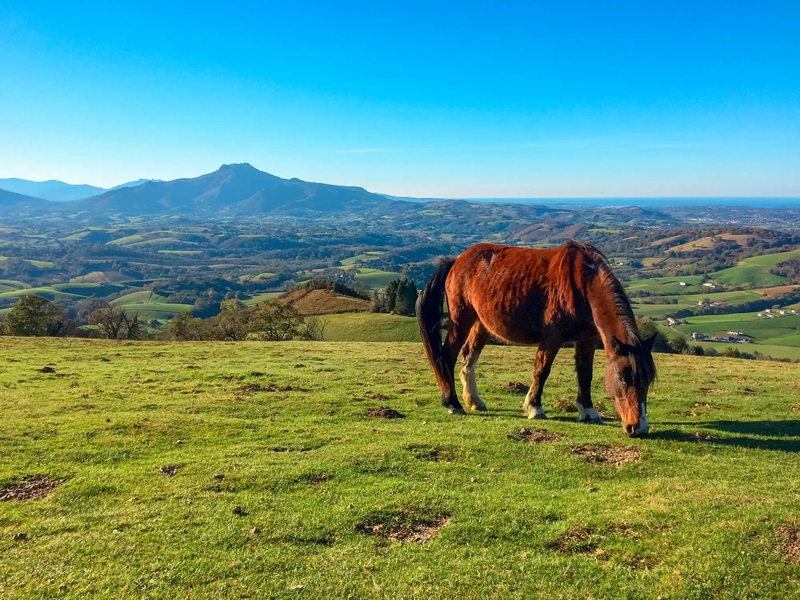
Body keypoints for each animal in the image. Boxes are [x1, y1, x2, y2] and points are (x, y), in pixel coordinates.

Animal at [418, 241, 656, 438]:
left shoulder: (587, 339)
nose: (638, 428)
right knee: (447, 356)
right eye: (623, 378)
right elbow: (542, 371)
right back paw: (453, 403)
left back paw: (474, 401)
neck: (582, 284)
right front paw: (535, 407)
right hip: (462, 320)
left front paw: (588, 411)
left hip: (480, 323)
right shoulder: (552, 338)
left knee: (469, 357)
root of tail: (457, 260)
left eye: (648, 380)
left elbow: (585, 375)